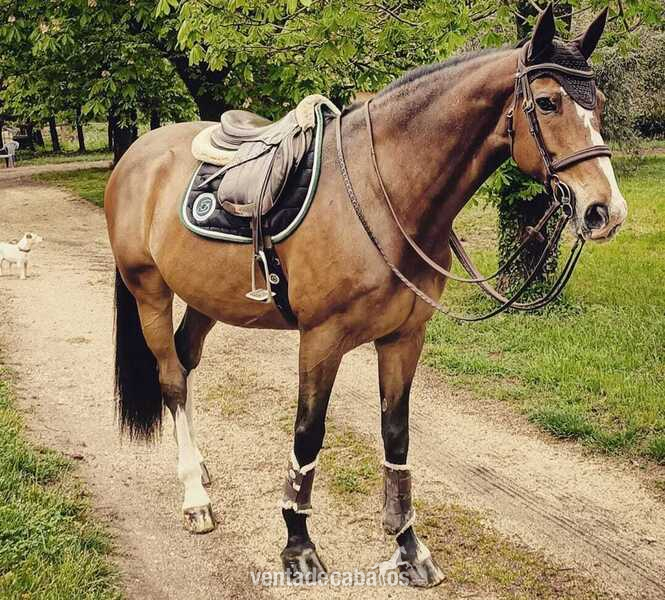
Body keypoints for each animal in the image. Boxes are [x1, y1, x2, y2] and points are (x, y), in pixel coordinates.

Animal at [105, 5, 626, 587]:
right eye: (548, 101)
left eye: (600, 104)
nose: (605, 210)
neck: (385, 195)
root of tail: (137, 155)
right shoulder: (320, 341)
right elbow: (308, 436)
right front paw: (298, 545)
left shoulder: (404, 338)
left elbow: (396, 436)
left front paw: (409, 547)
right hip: (148, 290)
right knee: (172, 378)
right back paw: (194, 496)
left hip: (204, 299)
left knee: (186, 361)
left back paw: (199, 466)